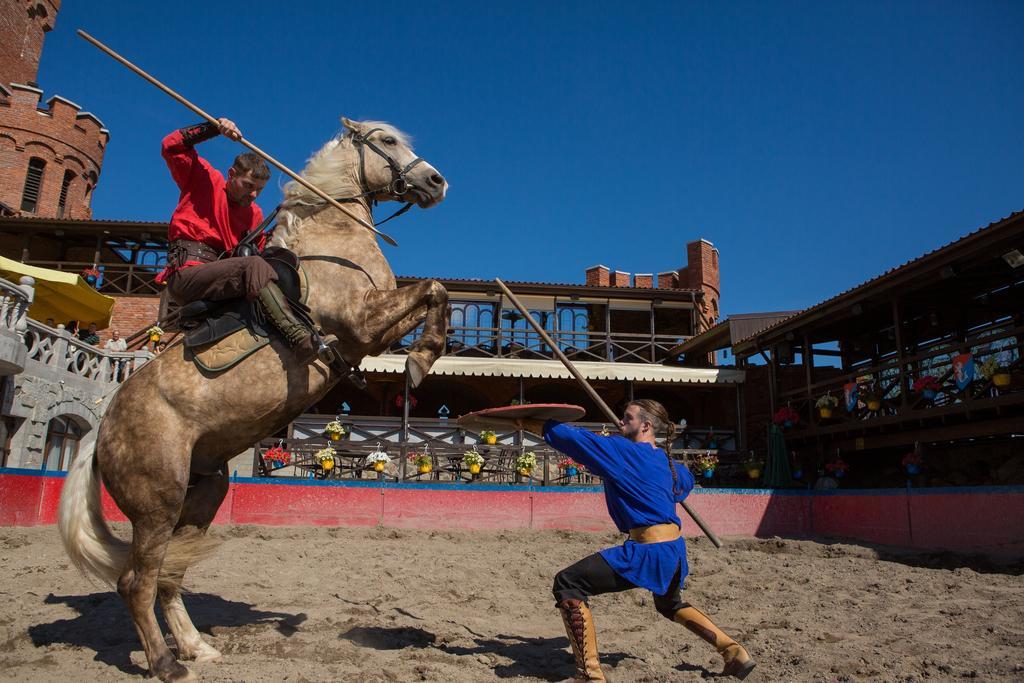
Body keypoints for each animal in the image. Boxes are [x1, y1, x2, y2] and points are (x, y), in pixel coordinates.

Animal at [57, 118, 448, 683]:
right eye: (387, 141)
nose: (436, 182)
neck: (330, 238)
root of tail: (101, 430)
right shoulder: (362, 323)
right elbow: (435, 290)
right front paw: (423, 357)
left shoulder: (375, 329)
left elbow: (436, 295)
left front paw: (423, 354)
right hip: (157, 504)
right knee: (137, 582)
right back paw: (165, 663)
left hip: (203, 494)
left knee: (169, 578)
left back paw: (197, 648)